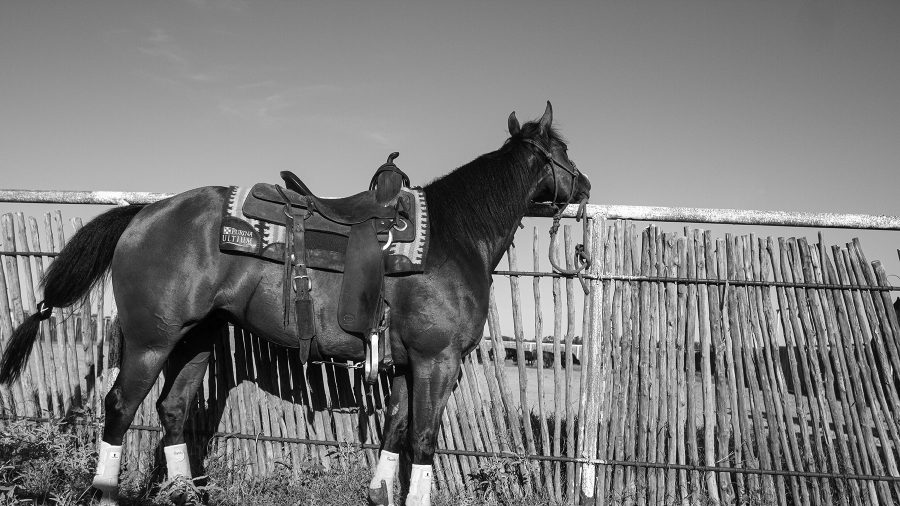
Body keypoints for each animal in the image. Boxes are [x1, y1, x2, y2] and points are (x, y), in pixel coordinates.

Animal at [0, 101, 590, 505]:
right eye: (561, 150)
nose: (584, 184)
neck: (453, 234)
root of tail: (144, 212)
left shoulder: (405, 364)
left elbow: (395, 431)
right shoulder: (437, 361)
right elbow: (423, 441)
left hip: (196, 340)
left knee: (172, 410)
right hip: (150, 341)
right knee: (120, 407)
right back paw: (106, 489)